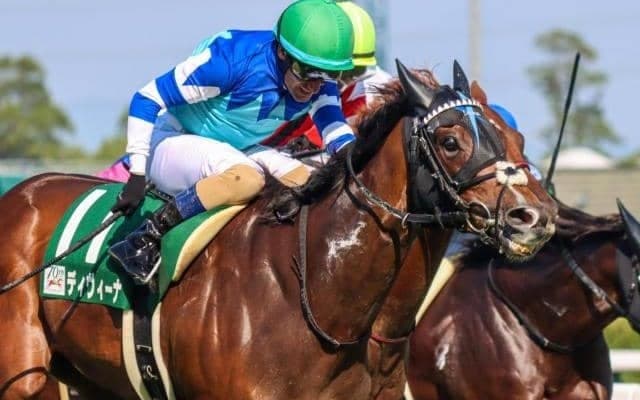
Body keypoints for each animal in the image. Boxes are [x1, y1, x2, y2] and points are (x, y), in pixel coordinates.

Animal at [0, 60, 557, 399]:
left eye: (517, 138)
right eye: (450, 141)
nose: (534, 217)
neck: (307, 289)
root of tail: (21, 191)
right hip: (22, 374)